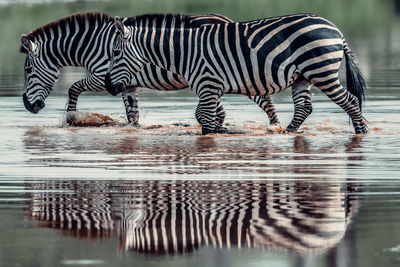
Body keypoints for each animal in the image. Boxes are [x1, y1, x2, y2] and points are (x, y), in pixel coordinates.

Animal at [19, 13, 278, 128]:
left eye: (28, 70)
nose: (29, 107)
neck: (92, 44)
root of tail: (227, 19)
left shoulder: (103, 76)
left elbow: (73, 88)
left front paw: (71, 118)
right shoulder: (126, 84)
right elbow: (132, 115)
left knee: (266, 102)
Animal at [104, 13, 368, 134]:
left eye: (115, 52)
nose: (108, 86)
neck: (184, 52)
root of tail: (335, 29)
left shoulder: (208, 83)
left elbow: (203, 115)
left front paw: (216, 133)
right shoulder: (209, 87)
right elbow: (205, 116)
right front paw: (219, 130)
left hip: (321, 70)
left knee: (350, 100)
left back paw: (361, 133)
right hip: (303, 77)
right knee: (304, 108)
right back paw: (287, 133)